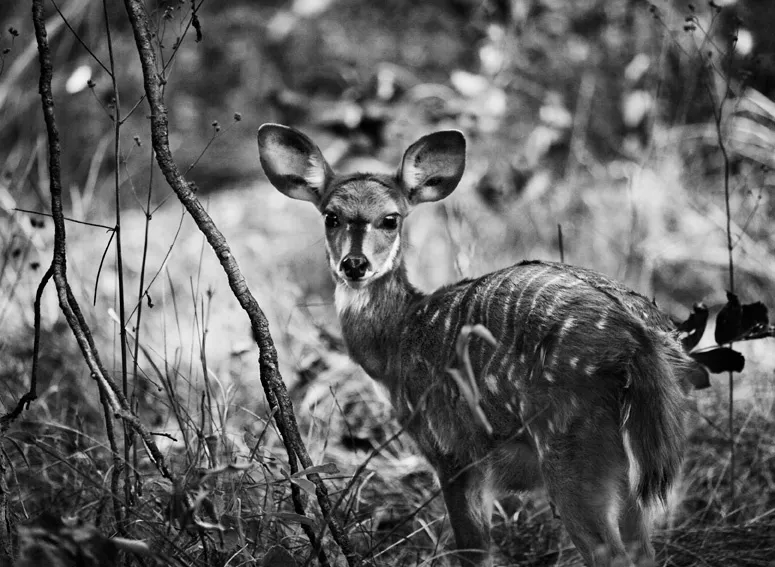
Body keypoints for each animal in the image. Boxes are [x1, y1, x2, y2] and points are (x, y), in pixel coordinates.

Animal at [257, 124, 705, 567]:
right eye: (330, 216)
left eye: (390, 219)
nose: (354, 265)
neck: (399, 340)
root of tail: (638, 340)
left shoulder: (452, 450)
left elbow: (472, 551)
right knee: (642, 549)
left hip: (571, 441)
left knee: (608, 551)